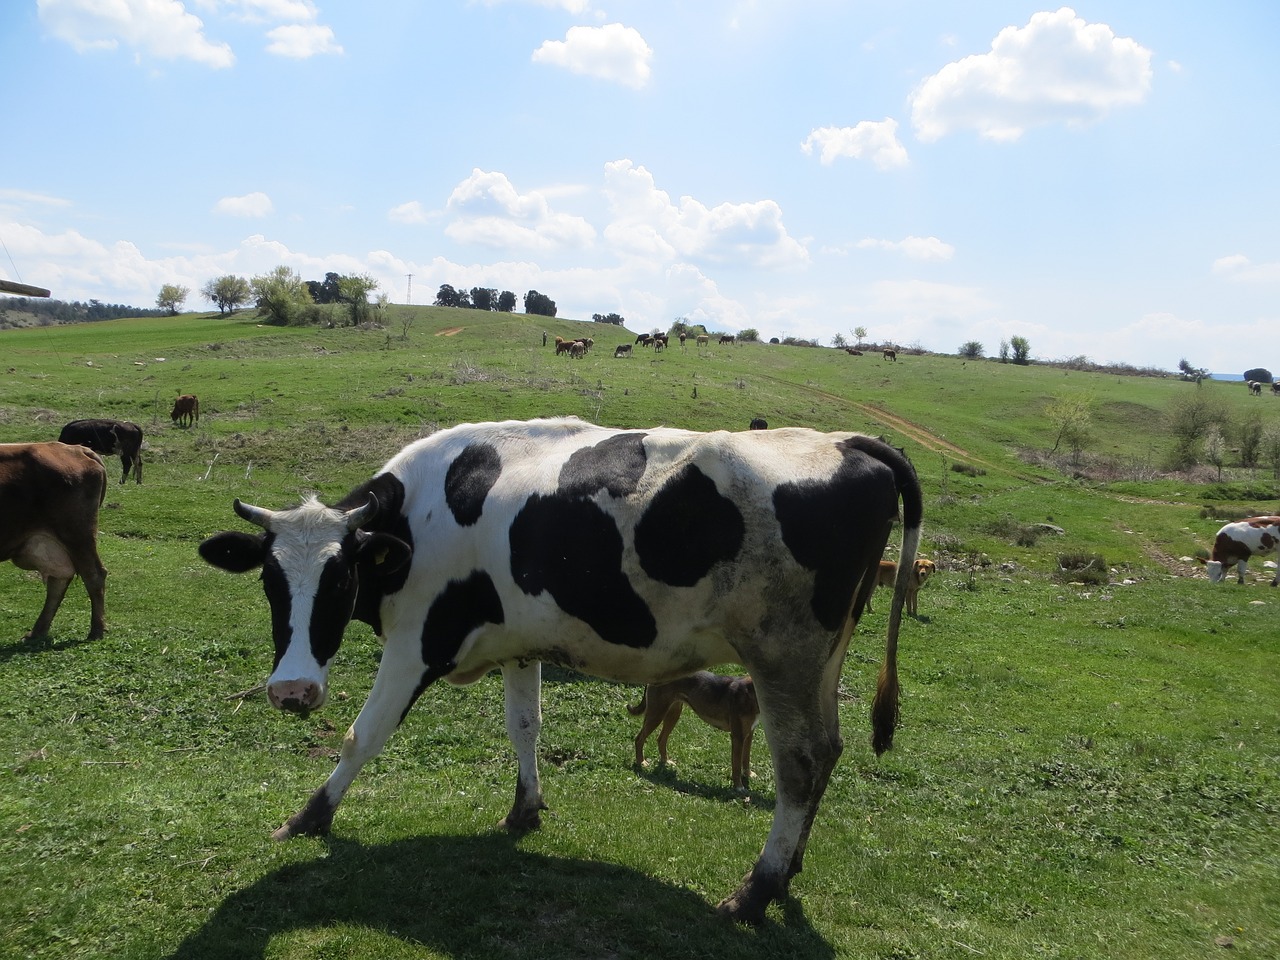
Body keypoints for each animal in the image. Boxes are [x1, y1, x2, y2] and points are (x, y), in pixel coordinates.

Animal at [0, 442, 108, 640]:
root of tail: (77, 449)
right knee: (58, 580)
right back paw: (38, 631)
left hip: (78, 535)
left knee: (93, 575)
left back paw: (97, 629)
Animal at [629, 675, 757, 788]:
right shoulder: (737, 736)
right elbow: (736, 766)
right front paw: (739, 787)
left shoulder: (748, 734)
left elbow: (746, 759)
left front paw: (749, 775)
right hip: (657, 714)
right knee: (639, 739)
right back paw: (641, 762)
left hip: (673, 713)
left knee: (661, 739)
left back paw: (666, 761)